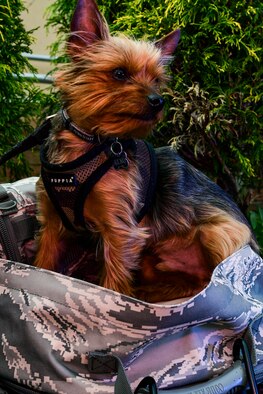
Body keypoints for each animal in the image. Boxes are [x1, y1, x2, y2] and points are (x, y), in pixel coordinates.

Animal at [34, 0, 258, 304]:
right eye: (119, 73)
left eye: (156, 80)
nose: (157, 100)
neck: (90, 144)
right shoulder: (52, 223)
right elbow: (43, 263)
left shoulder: (121, 231)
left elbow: (113, 284)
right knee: (191, 283)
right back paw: (149, 292)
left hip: (222, 234)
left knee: (211, 284)